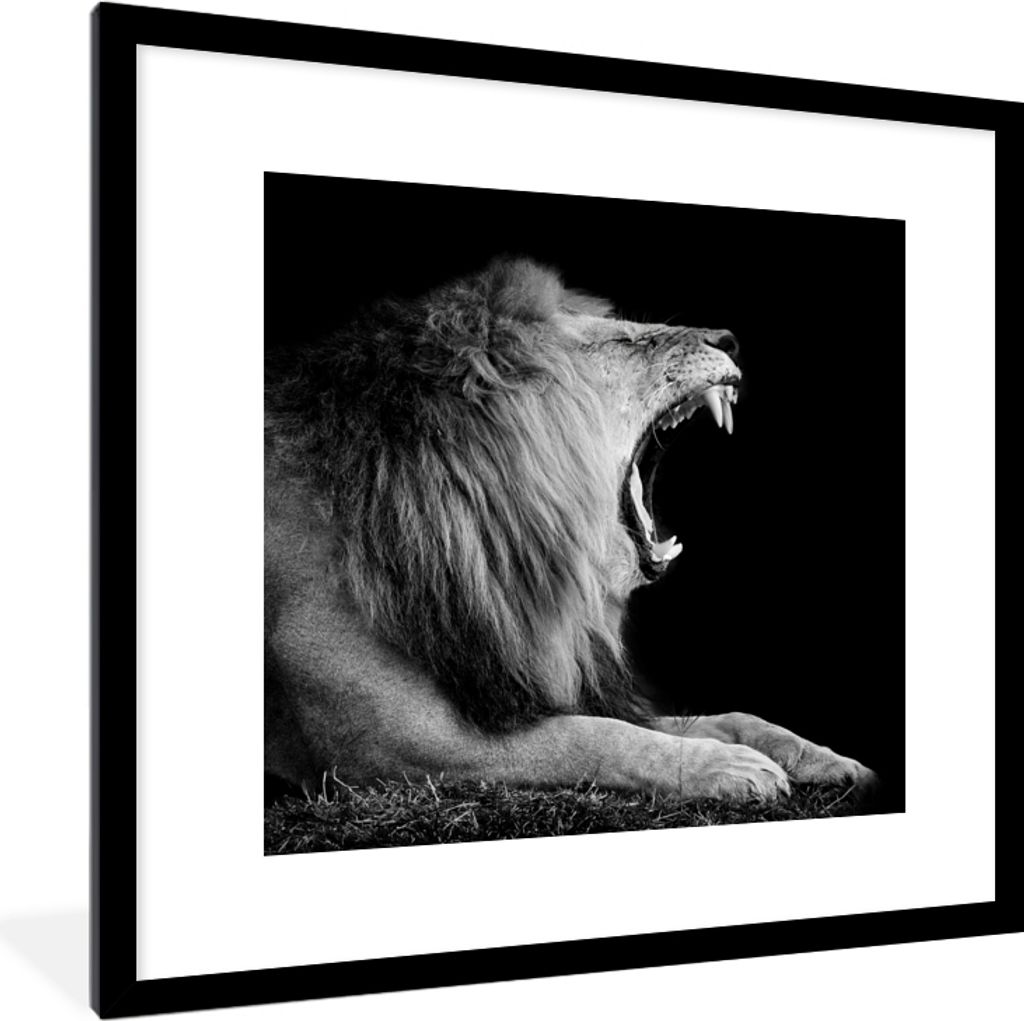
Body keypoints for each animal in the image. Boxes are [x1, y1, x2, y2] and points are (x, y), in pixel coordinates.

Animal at [265, 256, 875, 802]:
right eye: (623, 343)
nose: (729, 339)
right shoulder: (388, 745)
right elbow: (593, 738)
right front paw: (726, 766)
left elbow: (724, 715)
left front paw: (823, 757)